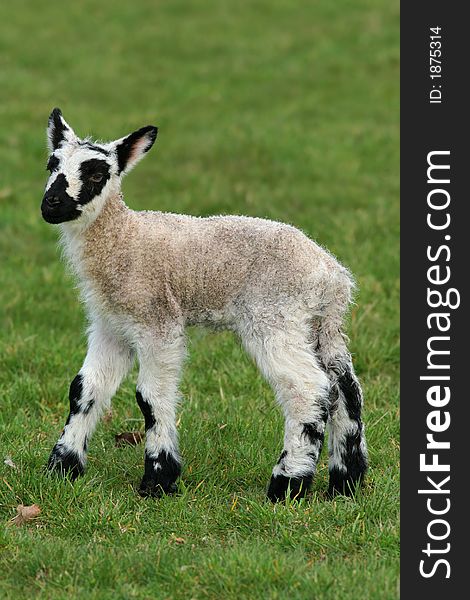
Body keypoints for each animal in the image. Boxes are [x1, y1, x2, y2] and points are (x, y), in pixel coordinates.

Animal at [41, 109, 368, 502]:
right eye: (51, 165)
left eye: (95, 174)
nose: (51, 204)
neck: (125, 238)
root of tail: (332, 275)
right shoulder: (111, 326)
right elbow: (84, 390)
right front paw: (62, 468)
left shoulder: (158, 321)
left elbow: (150, 397)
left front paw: (158, 480)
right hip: (321, 324)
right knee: (345, 389)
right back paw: (346, 482)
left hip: (274, 316)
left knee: (309, 390)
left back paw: (287, 483)